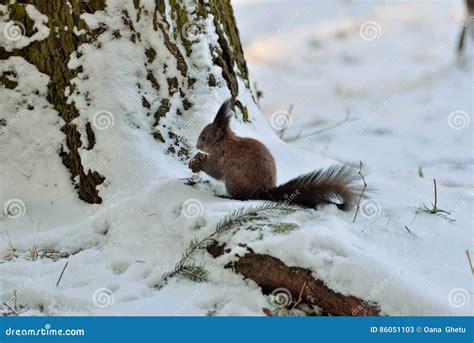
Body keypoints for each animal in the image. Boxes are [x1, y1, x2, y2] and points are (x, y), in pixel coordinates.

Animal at [189, 99, 360, 211]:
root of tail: (263, 191)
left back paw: (227, 197)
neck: (223, 141)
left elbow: (214, 170)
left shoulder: (220, 156)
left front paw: (198, 163)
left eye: (204, 137)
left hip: (234, 179)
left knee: (243, 197)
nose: (196, 146)